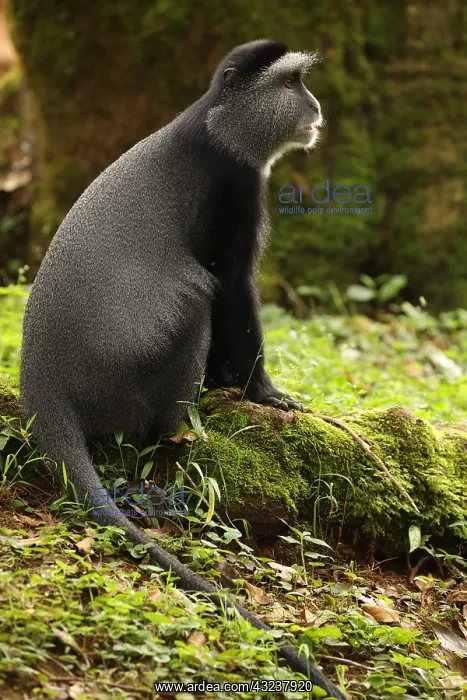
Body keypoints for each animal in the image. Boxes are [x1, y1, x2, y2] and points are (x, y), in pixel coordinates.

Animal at [20, 40, 346, 698]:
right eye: (292, 83)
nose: (317, 107)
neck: (218, 124)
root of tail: (43, 380)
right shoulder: (233, 192)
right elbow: (231, 288)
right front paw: (263, 392)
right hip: (128, 375)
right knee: (196, 296)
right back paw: (182, 429)